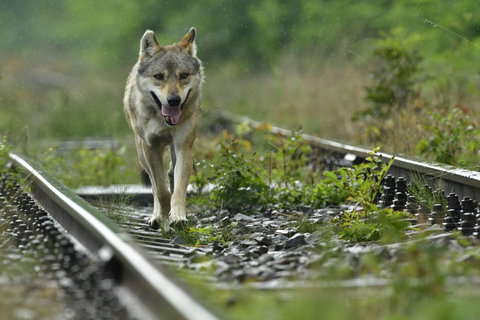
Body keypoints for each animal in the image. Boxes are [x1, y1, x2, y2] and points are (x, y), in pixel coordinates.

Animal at [123, 26, 203, 229]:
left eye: (184, 76)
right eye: (159, 76)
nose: (174, 100)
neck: (163, 121)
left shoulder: (183, 147)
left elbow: (178, 191)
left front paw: (178, 218)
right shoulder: (151, 147)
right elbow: (160, 191)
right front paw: (163, 218)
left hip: (174, 150)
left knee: (171, 176)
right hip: (142, 153)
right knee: (153, 185)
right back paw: (156, 217)